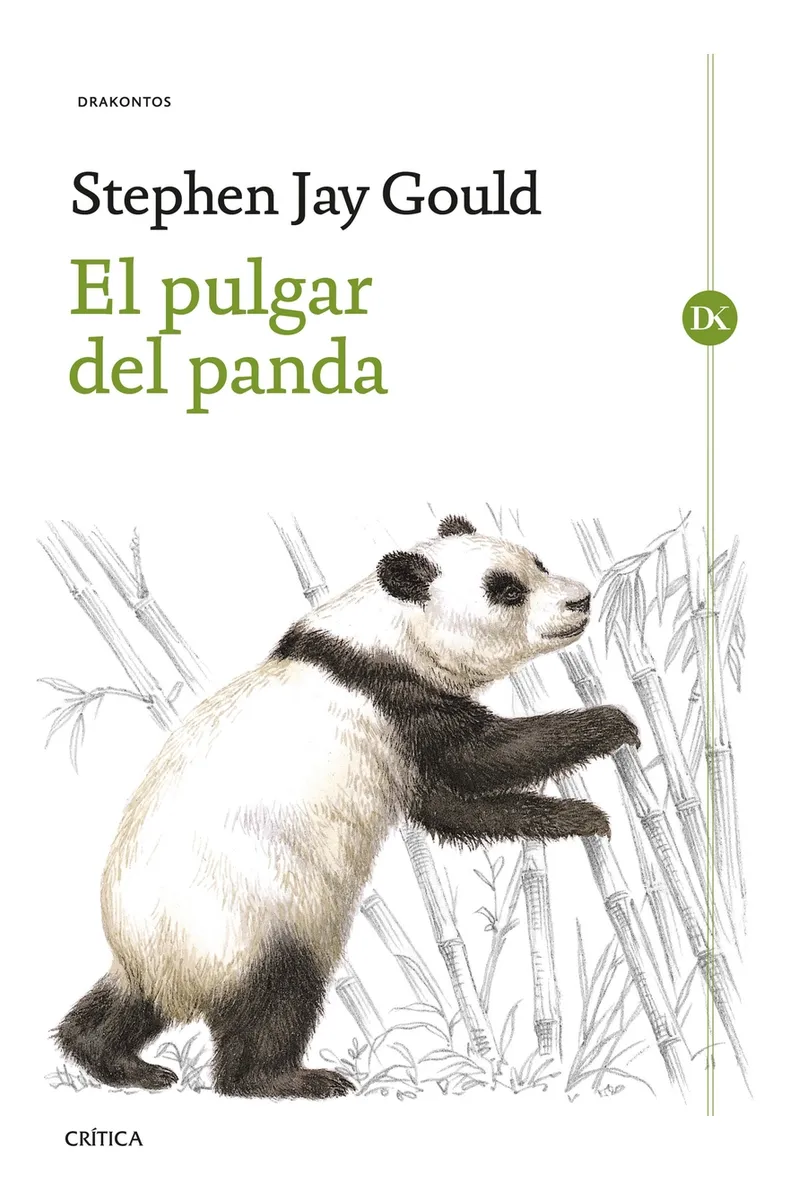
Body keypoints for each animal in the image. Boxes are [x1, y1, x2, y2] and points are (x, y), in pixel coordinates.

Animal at [56, 515, 639, 1099]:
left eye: (539, 563)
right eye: (506, 591)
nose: (581, 599)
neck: (379, 635)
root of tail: (170, 977)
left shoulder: (399, 737)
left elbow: (449, 808)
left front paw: (580, 812)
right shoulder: (394, 699)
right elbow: (483, 758)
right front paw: (610, 733)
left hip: (159, 949)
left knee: (126, 1004)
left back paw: (116, 1060)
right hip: (249, 916)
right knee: (279, 993)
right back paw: (287, 1079)